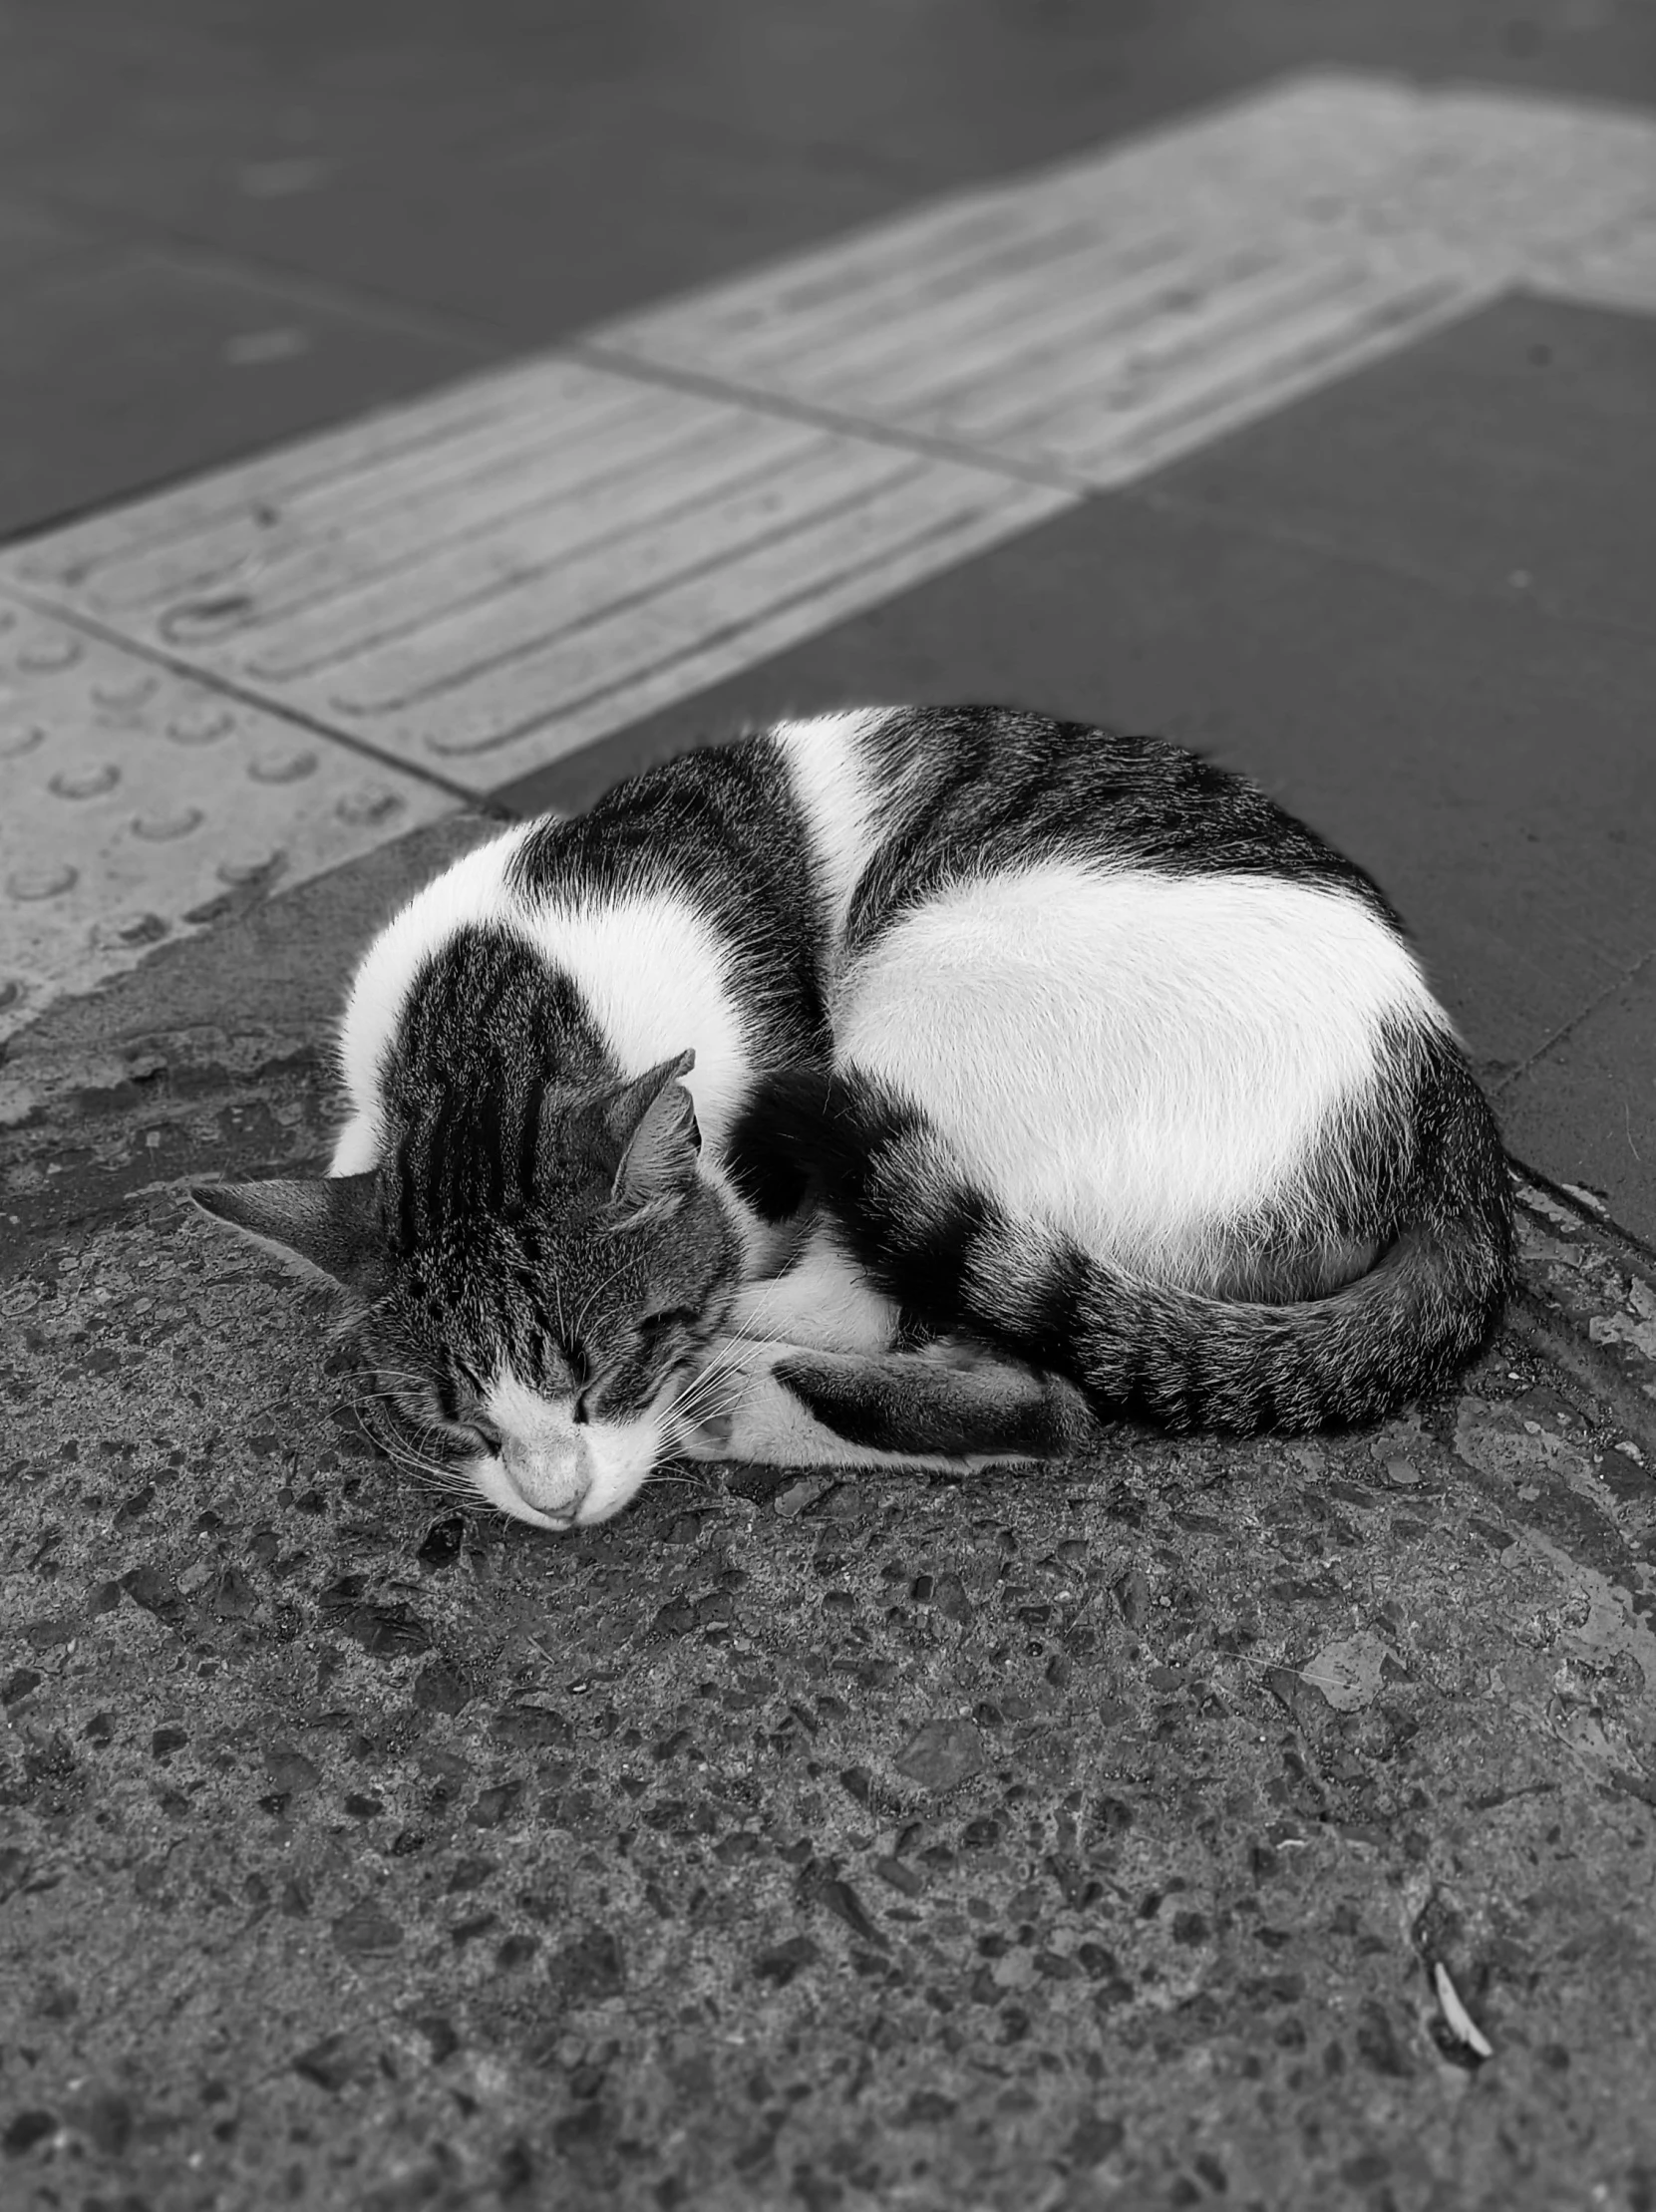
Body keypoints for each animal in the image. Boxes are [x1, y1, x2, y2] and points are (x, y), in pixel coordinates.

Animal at [193, 699, 1511, 1530]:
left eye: (609, 1368)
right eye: (448, 1412)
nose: (557, 1499)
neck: (493, 997)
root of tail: (1445, 1109)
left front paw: (701, 1352)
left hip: (923, 989)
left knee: (948, 1340)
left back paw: (735, 1382)